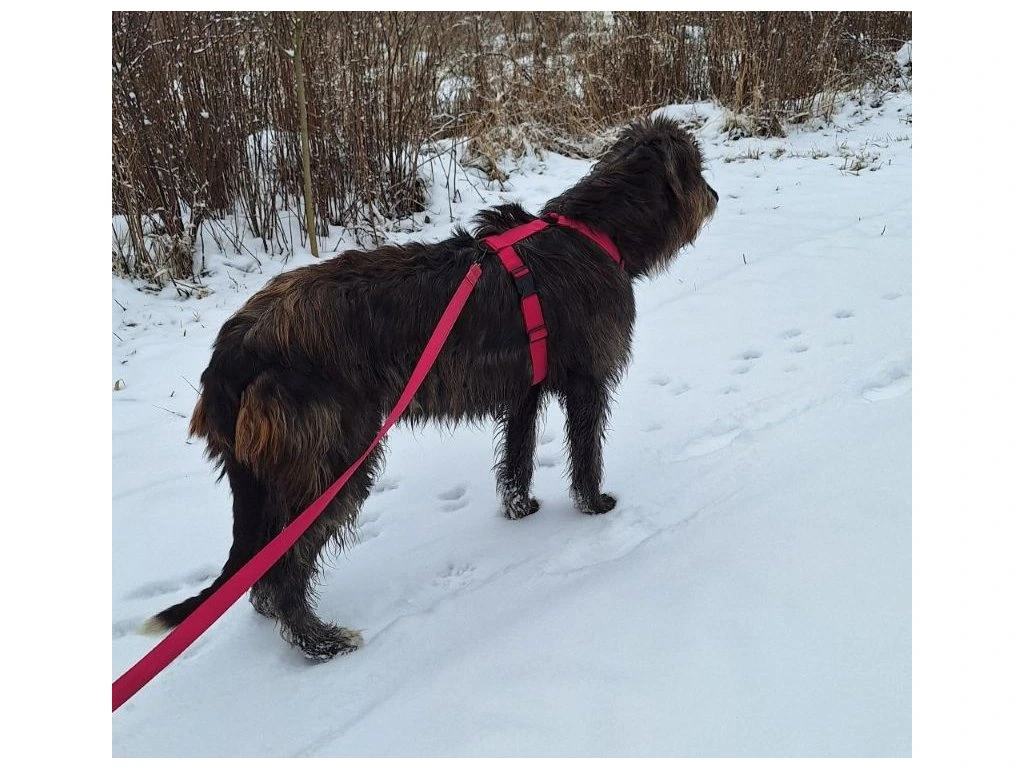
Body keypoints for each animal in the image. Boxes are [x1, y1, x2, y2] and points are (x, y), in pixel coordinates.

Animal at [145, 115, 718, 660]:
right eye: (696, 168)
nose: (714, 197)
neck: (593, 230)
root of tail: (238, 346)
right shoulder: (588, 381)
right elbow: (586, 452)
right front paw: (594, 504)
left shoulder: (523, 392)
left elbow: (518, 456)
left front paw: (519, 510)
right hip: (333, 459)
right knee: (286, 567)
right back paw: (322, 643)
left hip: (271, 473)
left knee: (263, 569)